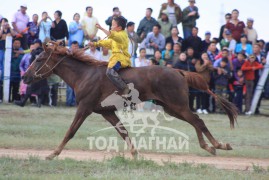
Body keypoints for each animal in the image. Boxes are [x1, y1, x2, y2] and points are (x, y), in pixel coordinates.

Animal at [23, 43, 237, 159]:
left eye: (39, 59)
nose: (25, 77)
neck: (84, 75)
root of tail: (178, 71)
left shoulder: (84, 108)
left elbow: (70, 132)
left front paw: (52, 154)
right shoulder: (107, 112)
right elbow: (123, 131)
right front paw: (135, 154)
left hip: (178, 105)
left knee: (197, 121)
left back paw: (217, 145)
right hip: (172, 108)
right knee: (195, 122)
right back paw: (210, 146)